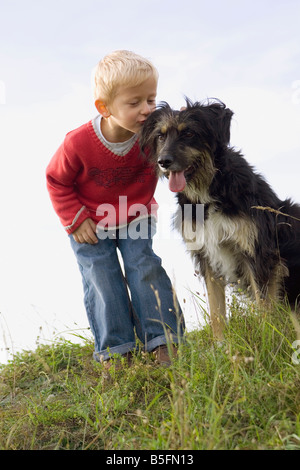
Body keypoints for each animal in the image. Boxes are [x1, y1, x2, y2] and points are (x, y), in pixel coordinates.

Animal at [140, 100, 300, 342]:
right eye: (161, 136)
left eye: (189, 133)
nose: (163, 162)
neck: (209, 191)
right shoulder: (208, 256)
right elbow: (216, 312)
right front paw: (221, 347)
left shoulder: (258, 252)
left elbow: (264, 306)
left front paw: (266, 341)